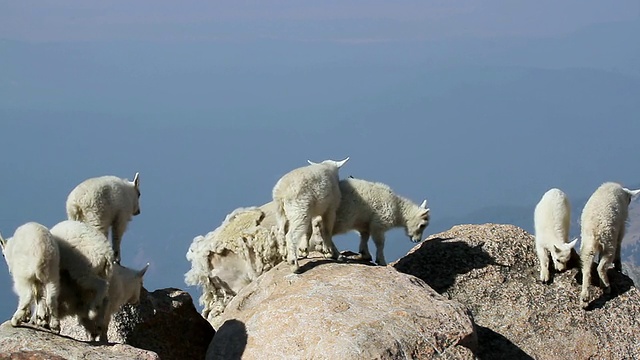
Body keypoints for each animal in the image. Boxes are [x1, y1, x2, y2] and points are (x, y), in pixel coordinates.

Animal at [300, 178, 430, 266]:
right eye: (422, 225)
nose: (417, 240)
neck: (398, 209)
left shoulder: (364, 224)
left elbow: (364, 237)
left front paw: (365, 254)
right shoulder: (379, 223)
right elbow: (380, 243)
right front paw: (381, 261)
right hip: (341, 217)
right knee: (323, 229)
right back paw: (331, 252)